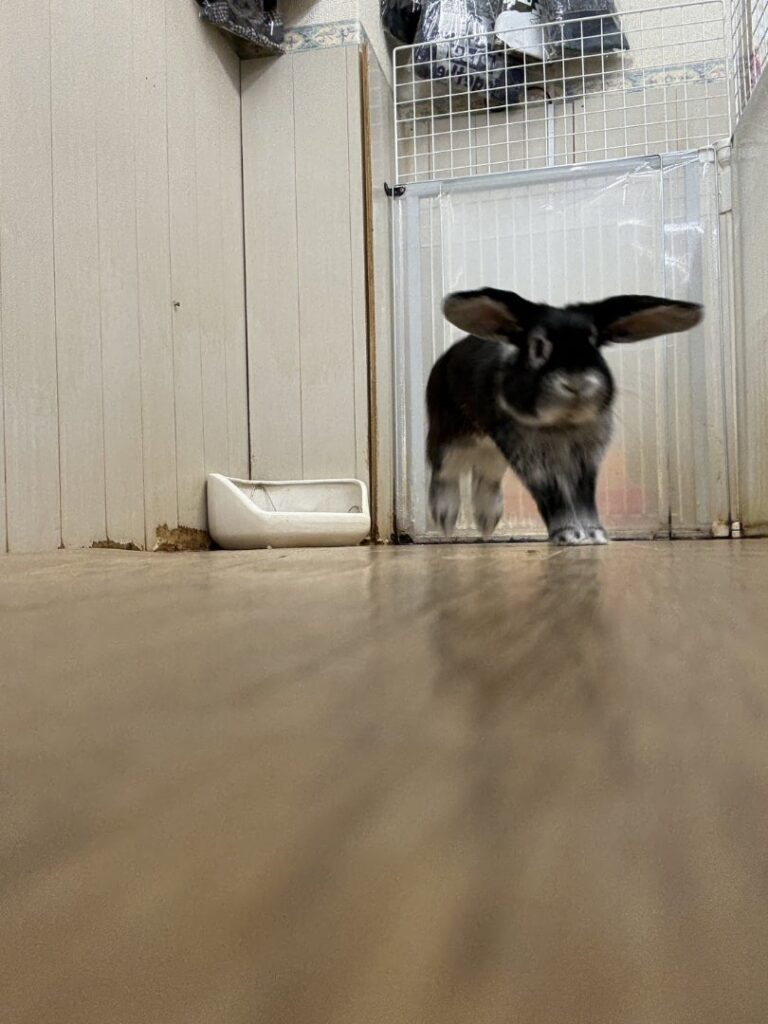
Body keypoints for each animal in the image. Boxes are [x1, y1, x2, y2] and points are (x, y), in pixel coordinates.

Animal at [426, 288, 703, 545]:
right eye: (538, 347)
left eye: (594, 344)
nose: (576, 383)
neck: (562, 423)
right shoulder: (534, 462)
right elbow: (553, 497)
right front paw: (569, 535)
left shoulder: (584, 462)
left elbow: (583, 499)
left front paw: (595, 535)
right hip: (449, 439)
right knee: (443, 473)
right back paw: (445, 518)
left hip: (493, 454)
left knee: (485, 478)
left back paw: (487, 522)